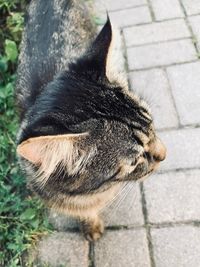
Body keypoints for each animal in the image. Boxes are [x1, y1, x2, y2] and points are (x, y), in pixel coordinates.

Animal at [15, 0, 166, 243]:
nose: (165, 154)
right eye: (135, 160)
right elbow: (83, 213)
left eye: (153, 127)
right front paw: (90, 224)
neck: (91, 194)